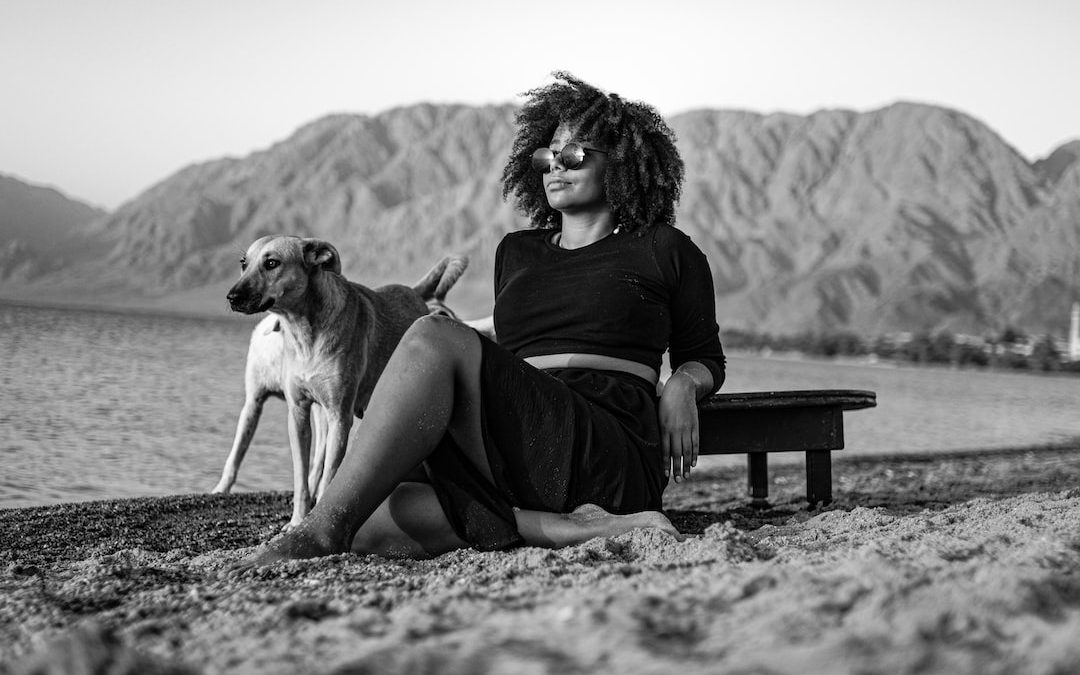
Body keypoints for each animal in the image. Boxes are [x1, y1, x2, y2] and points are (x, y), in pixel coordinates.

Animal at [221, 236, 466, 527]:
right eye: (243, 263)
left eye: (272, 263)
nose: (231, 297)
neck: (304, 331)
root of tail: (414, 292)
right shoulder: (299, 413)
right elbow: (302, 478)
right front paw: (297, 520)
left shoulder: (339, 416)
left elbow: (330, 476)